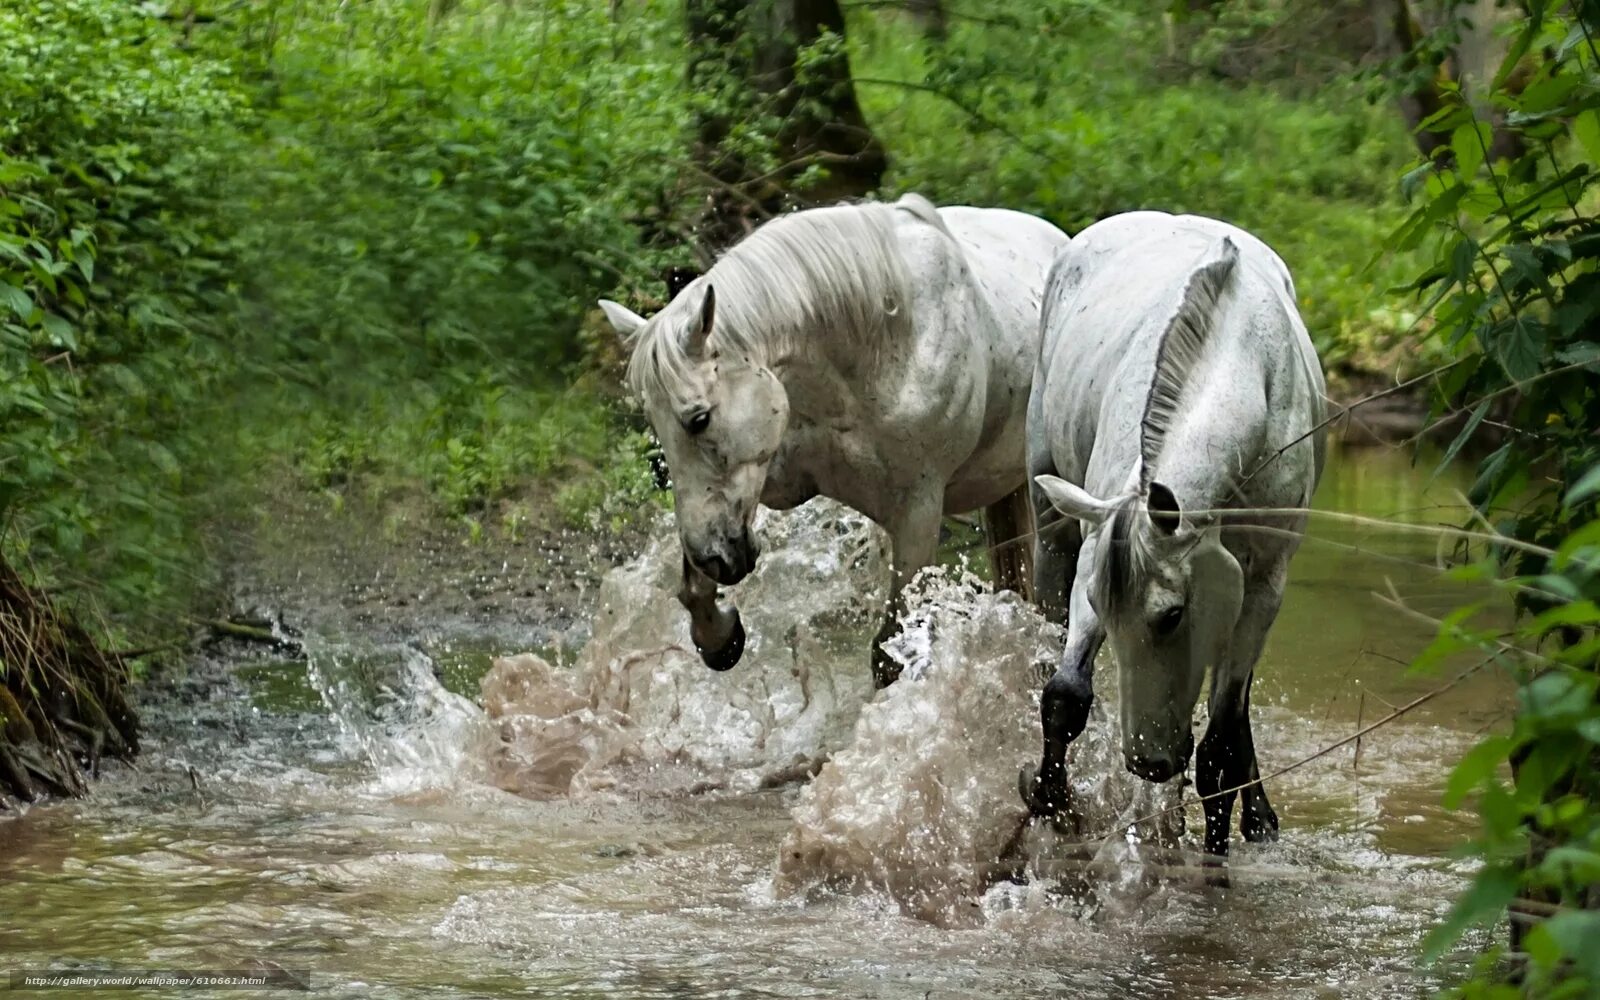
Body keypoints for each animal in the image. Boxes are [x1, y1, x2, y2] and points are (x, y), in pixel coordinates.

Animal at [595, 199, 1068, 691]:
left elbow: (888, 653)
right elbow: (693, 588)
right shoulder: (770, 479)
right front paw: (720, 636)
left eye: (699, 418)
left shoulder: (918, 512)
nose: (714, 556)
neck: (882, 345)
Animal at [1017, 208, 1331, 857]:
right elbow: (1065, 696)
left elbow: (1219, 746)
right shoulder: (1094, 552)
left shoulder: (1264, 584)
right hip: (1051, 527)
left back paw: (1256, 818)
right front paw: (1053, 804)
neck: (1239, 362)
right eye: (1101, 605)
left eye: (1172, 615)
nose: (1149, 762)